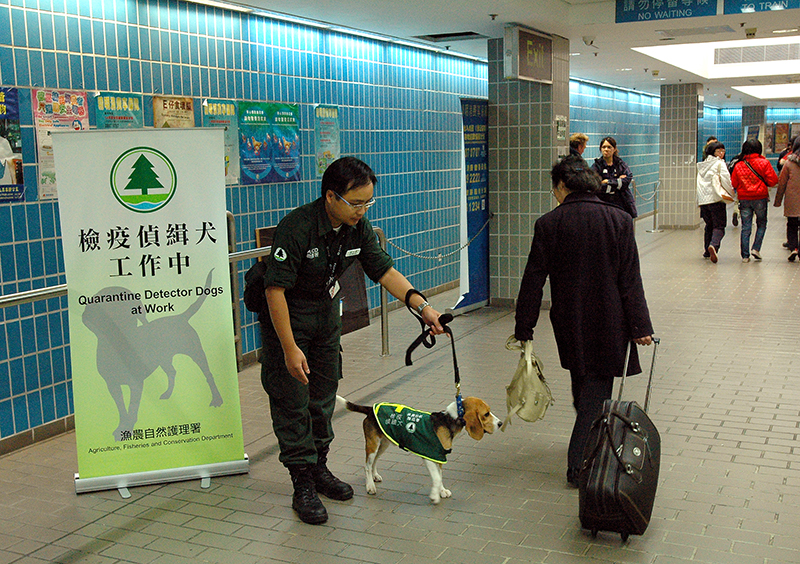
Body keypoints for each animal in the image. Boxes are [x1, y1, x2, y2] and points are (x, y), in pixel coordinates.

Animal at [336, 394, 500, 504]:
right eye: (486, 414)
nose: (500, 423)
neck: (449, 420)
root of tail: (370, 409)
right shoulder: (429, 456)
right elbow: (436, 477)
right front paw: (434, 496)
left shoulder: (439, 457)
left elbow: (440, 476)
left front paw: (441, 491)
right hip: (373, 444)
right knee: (367, 465)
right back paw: (370, 485)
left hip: (383, 444)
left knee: (374, 461)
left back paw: (375, 476)